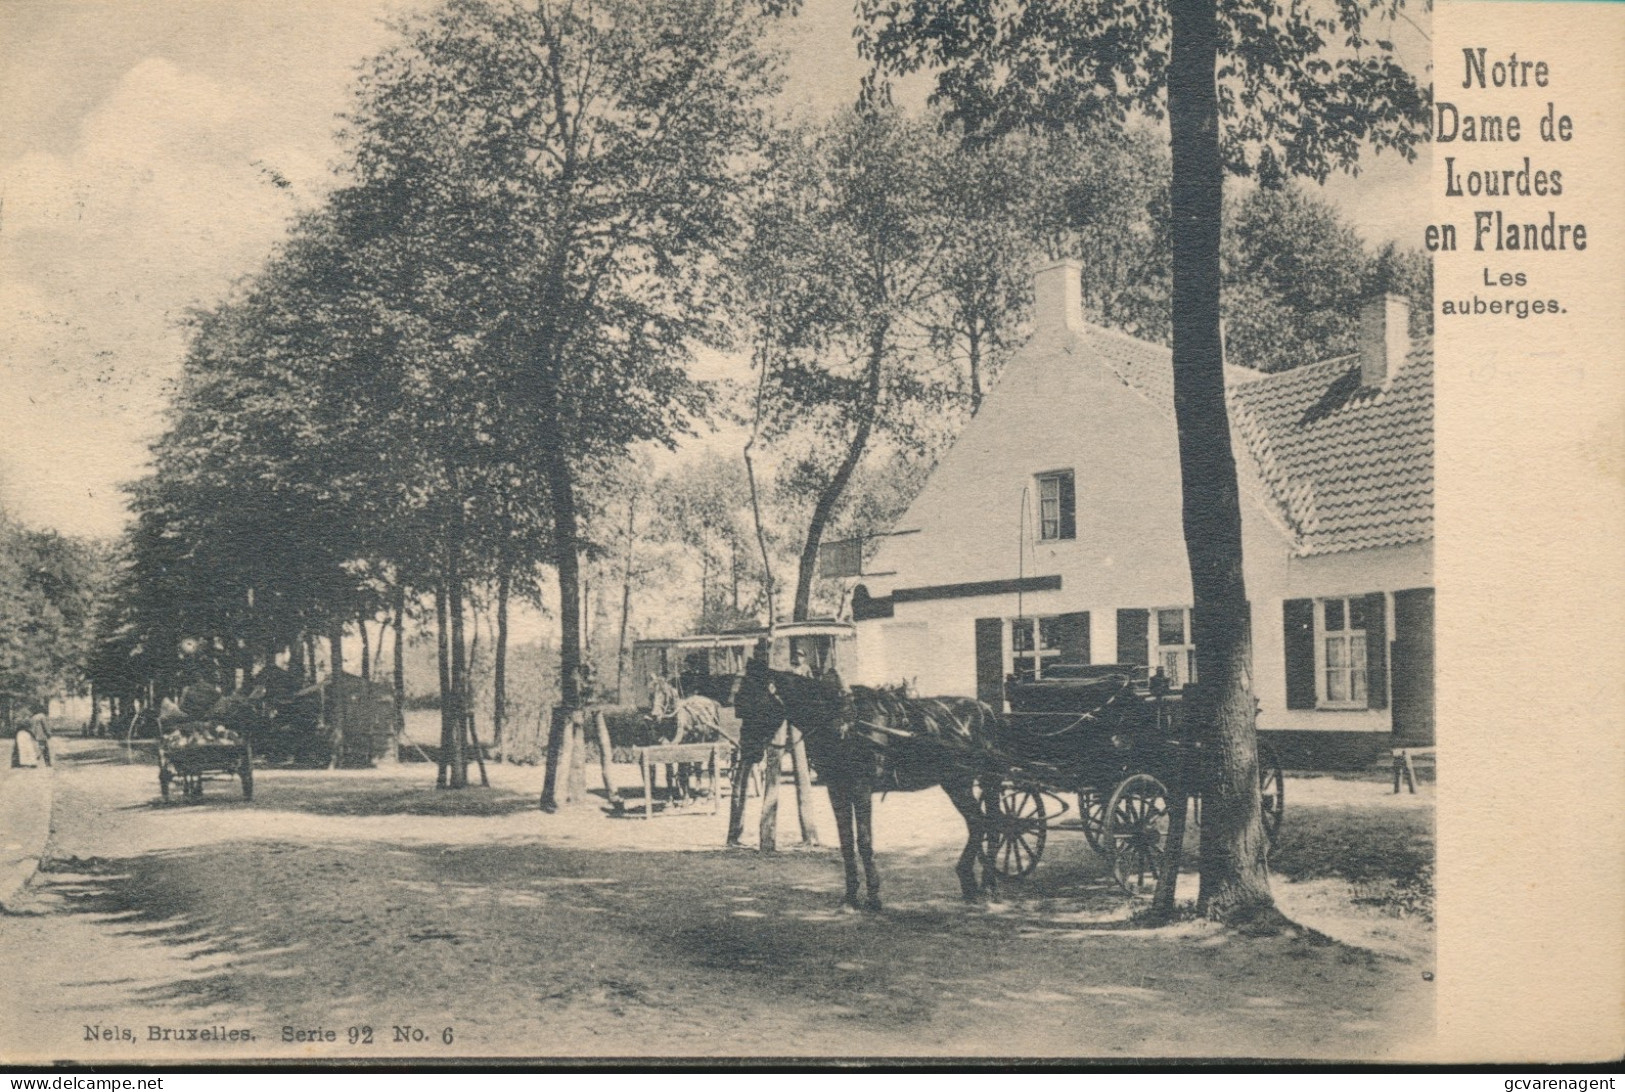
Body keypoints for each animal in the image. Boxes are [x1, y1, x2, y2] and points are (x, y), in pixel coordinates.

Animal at [734, 666, 1001, 910]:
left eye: (757, 704)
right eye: (740, 706)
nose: (746, 750)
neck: (840, 720)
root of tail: (985, 709)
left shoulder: (860, 787)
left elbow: (864, 840)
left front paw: (873, 896)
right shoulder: (836, 789)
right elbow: (846, 842)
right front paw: (851, 896)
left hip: (968, 781)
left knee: (985, 824)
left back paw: (985, 884)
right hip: (956, 782)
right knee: (979, 823)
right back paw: (975, 883)